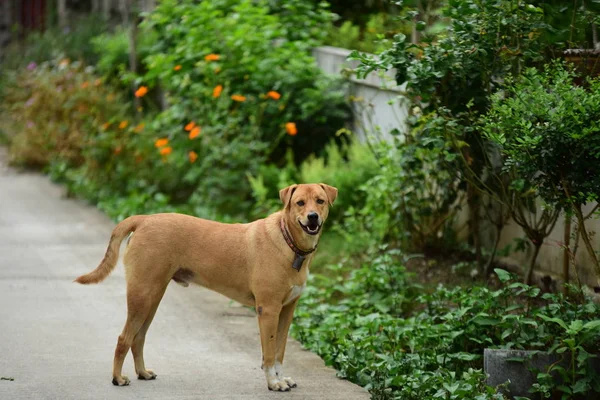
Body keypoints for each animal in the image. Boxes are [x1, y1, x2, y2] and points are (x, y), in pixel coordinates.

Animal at [75, 183, 338, 392]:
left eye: (320, 201)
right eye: (299, 203)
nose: (313, 217)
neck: (288, 241)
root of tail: (144, 219)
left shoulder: (287, 311)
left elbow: (280, 352)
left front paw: (281, 378)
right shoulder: (269, 310)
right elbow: (270, 353)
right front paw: (273, 383)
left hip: (152, 298)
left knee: (137, 338)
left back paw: (142, 372)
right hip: (142, 296)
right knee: (124, 338)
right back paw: (117, 378)